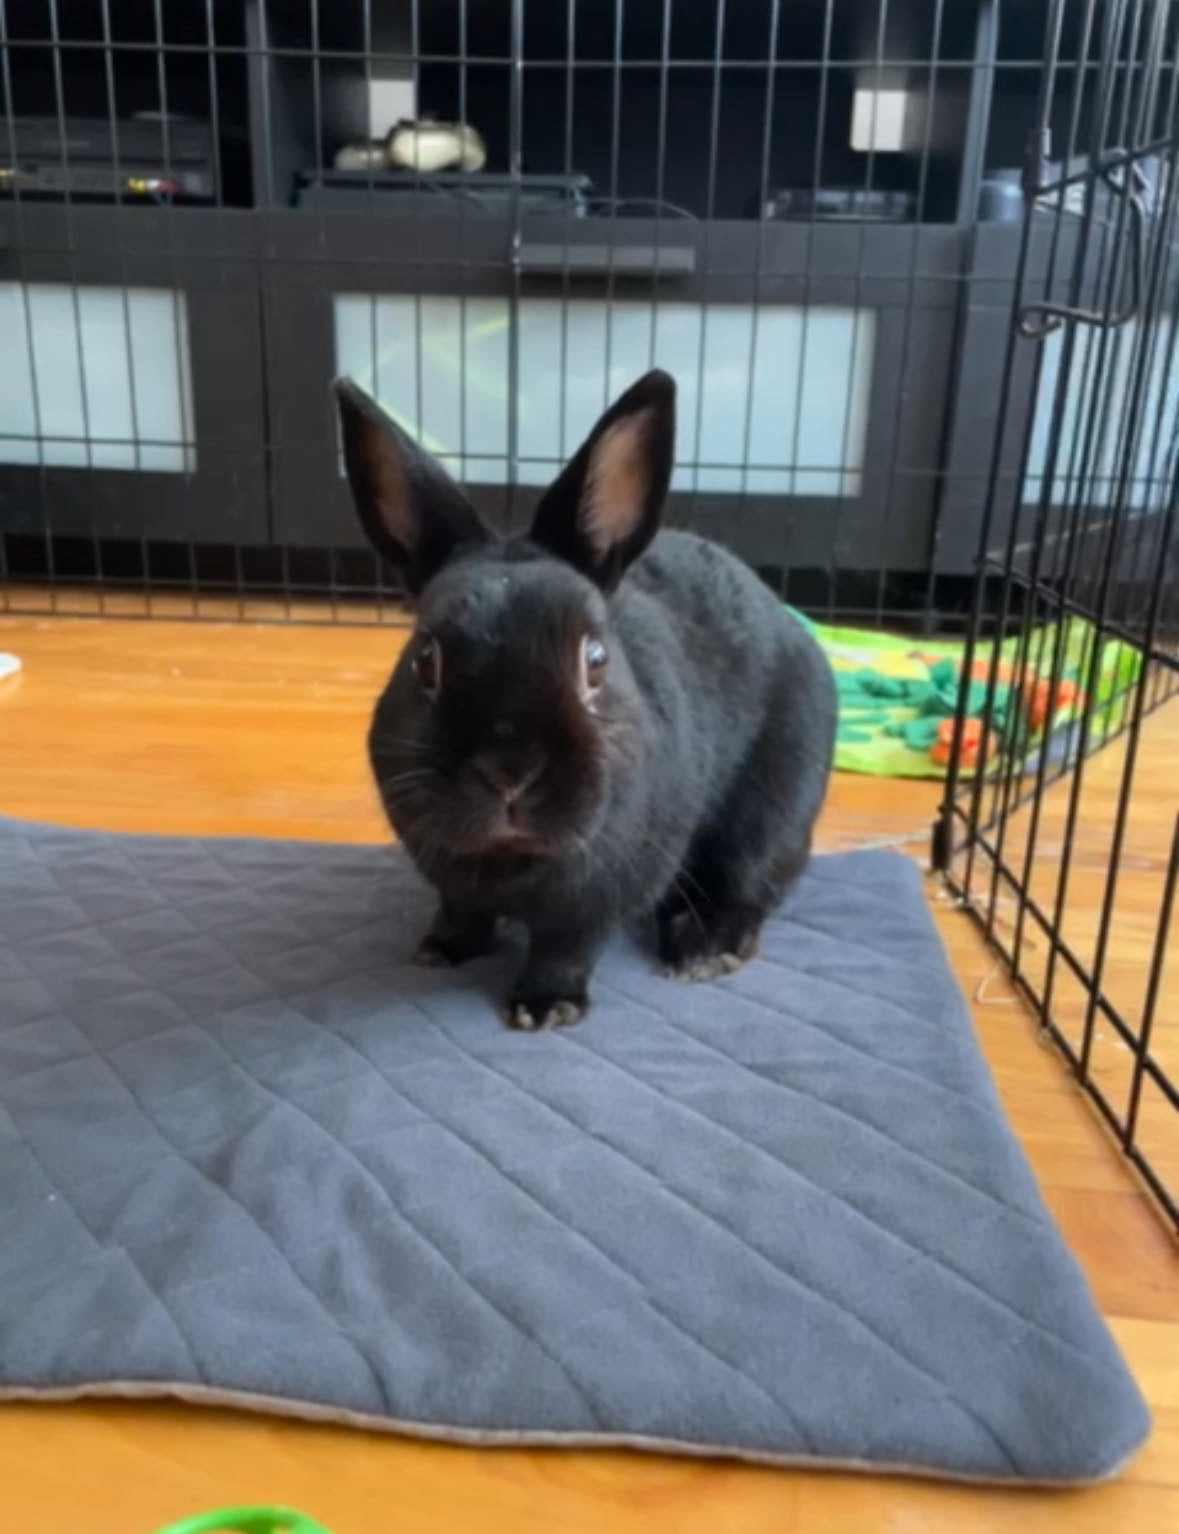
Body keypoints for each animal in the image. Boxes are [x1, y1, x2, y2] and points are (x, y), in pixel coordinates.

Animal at [334, 369, 837, 1030]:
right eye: (425, 661)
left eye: (595, 661)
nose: (510, 772)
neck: (513, 863)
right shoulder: (452, 881)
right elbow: (461, 911)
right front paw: (440, 951)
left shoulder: (598, 896)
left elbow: (566, 947)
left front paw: (545, 1008)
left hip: (776, 807)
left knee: (752, 882)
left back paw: (704, 950)